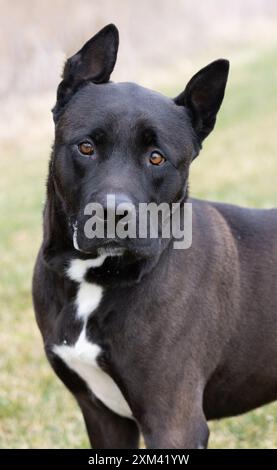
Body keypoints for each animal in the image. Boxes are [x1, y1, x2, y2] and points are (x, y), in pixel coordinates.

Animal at [33, 23, 276, 448]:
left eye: (157, 157)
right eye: (86, 147)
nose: (113, 214)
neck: (96, 279)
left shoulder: (173, 422)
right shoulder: (103, 416)